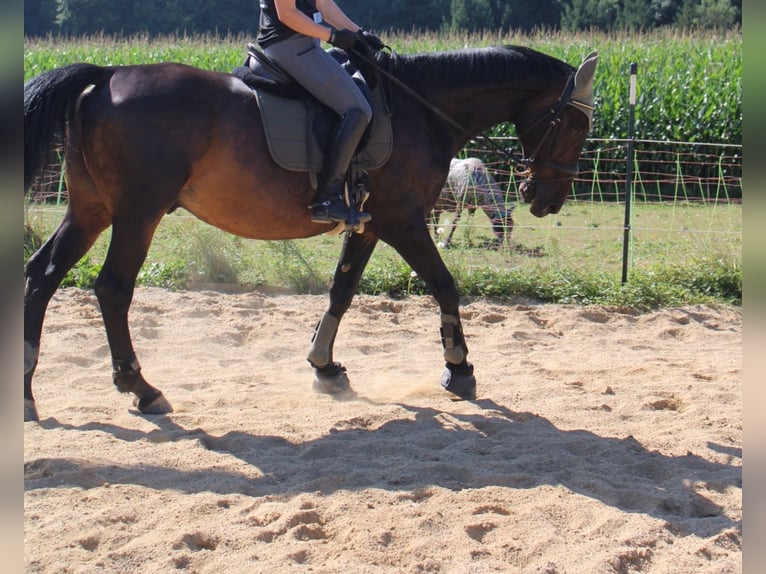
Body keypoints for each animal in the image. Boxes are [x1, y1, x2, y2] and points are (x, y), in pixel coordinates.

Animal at [23, 43, 598, 422]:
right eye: (575, 125)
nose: (548, 200)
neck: (420, 108)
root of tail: (106, 75)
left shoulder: (369, 224)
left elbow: (341, 291)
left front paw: (324, 368)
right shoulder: (405, 221)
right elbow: (444, 285)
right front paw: (459, 369)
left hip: (91, 210)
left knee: (40, 276)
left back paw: (28, 395)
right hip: (138, 212)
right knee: (112, 288)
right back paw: (141, 388)